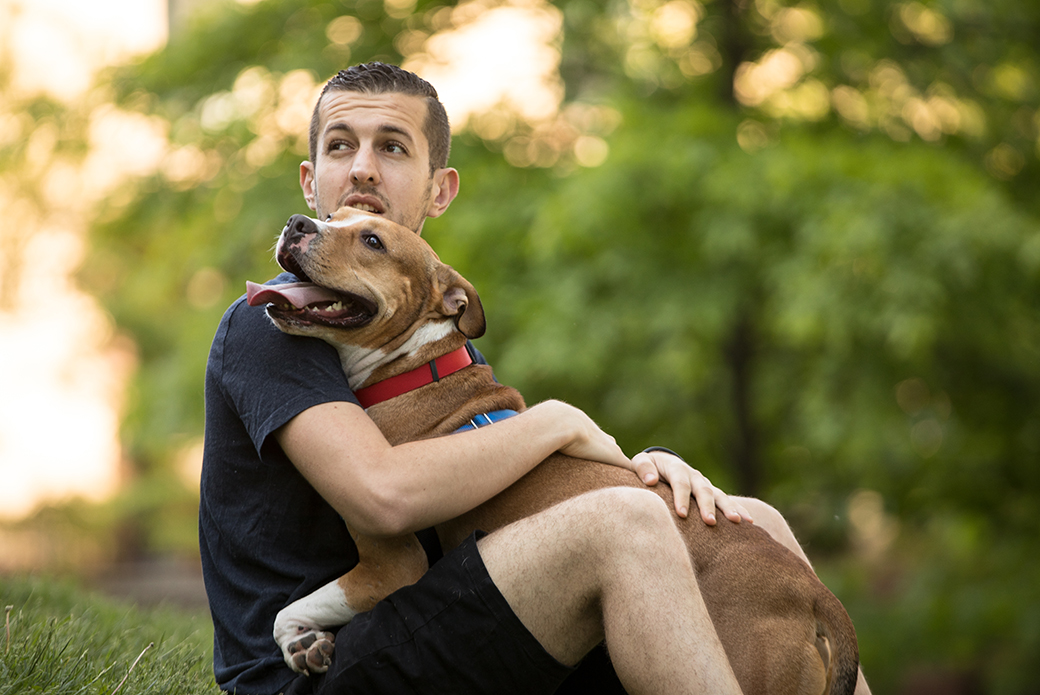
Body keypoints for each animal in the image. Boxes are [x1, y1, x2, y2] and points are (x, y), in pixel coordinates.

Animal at [247, 208, 856, 695]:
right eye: (333, 214)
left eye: (372, 240)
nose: (298, 223)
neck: (417, 367)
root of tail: (812, 594)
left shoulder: (388, 567)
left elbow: (287, 611)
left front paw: (301, 640)